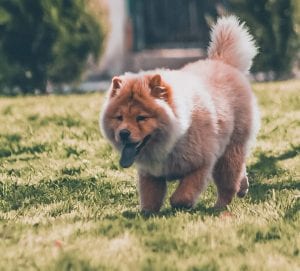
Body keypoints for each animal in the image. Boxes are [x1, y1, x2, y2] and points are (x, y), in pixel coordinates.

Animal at [100, 15, 260, 214]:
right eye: (119, 118)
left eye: (141, 118)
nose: (123, 133)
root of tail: (222, 62)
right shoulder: (151, 174)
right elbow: (150, 198)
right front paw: (147, 214)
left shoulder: (201, 164)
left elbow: (183, 194)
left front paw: (182, 205)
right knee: (239, 170)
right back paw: (242, 188)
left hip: (229, 150)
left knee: (228, 183)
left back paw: (218, 207)